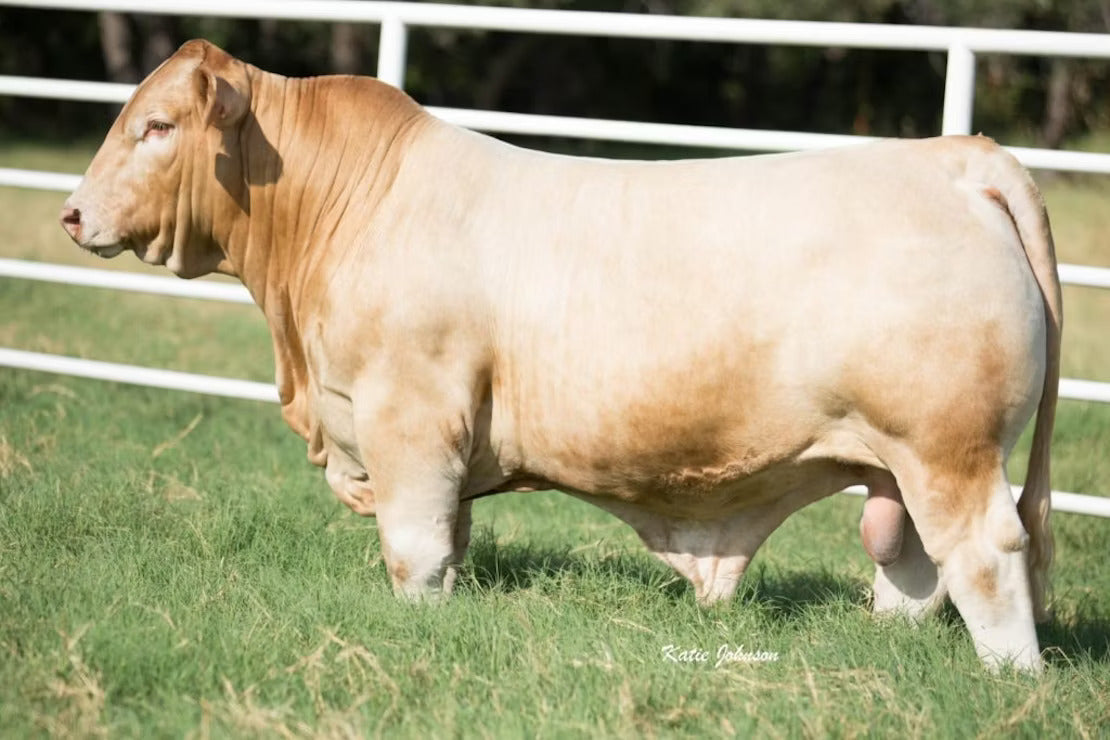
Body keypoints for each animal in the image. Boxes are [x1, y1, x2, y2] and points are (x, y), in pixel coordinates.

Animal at [60, 40, 1061, 672]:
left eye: (157, 126)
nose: (71, 213)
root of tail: (956, 157)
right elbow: (451, 545)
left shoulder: (407, 418)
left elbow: (413, 551)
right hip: (901, 463)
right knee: (913, 565)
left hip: (949, 449)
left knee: (985, 556)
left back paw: (1010, 680)